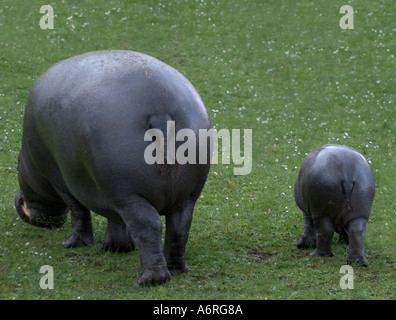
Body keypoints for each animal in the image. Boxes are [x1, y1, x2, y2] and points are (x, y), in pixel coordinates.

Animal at [14, 50, 213, 284]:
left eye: (16, 166)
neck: (28, 156)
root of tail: (160, 112)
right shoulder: (107, 191)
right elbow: (116, 221)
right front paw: (115, 247)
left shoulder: (62, 181)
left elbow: (79, 212)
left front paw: (71, 244)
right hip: (186, 194)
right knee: (180, 227)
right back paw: (176, 270)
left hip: (128, 194)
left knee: (148, 225)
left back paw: (150, 280)